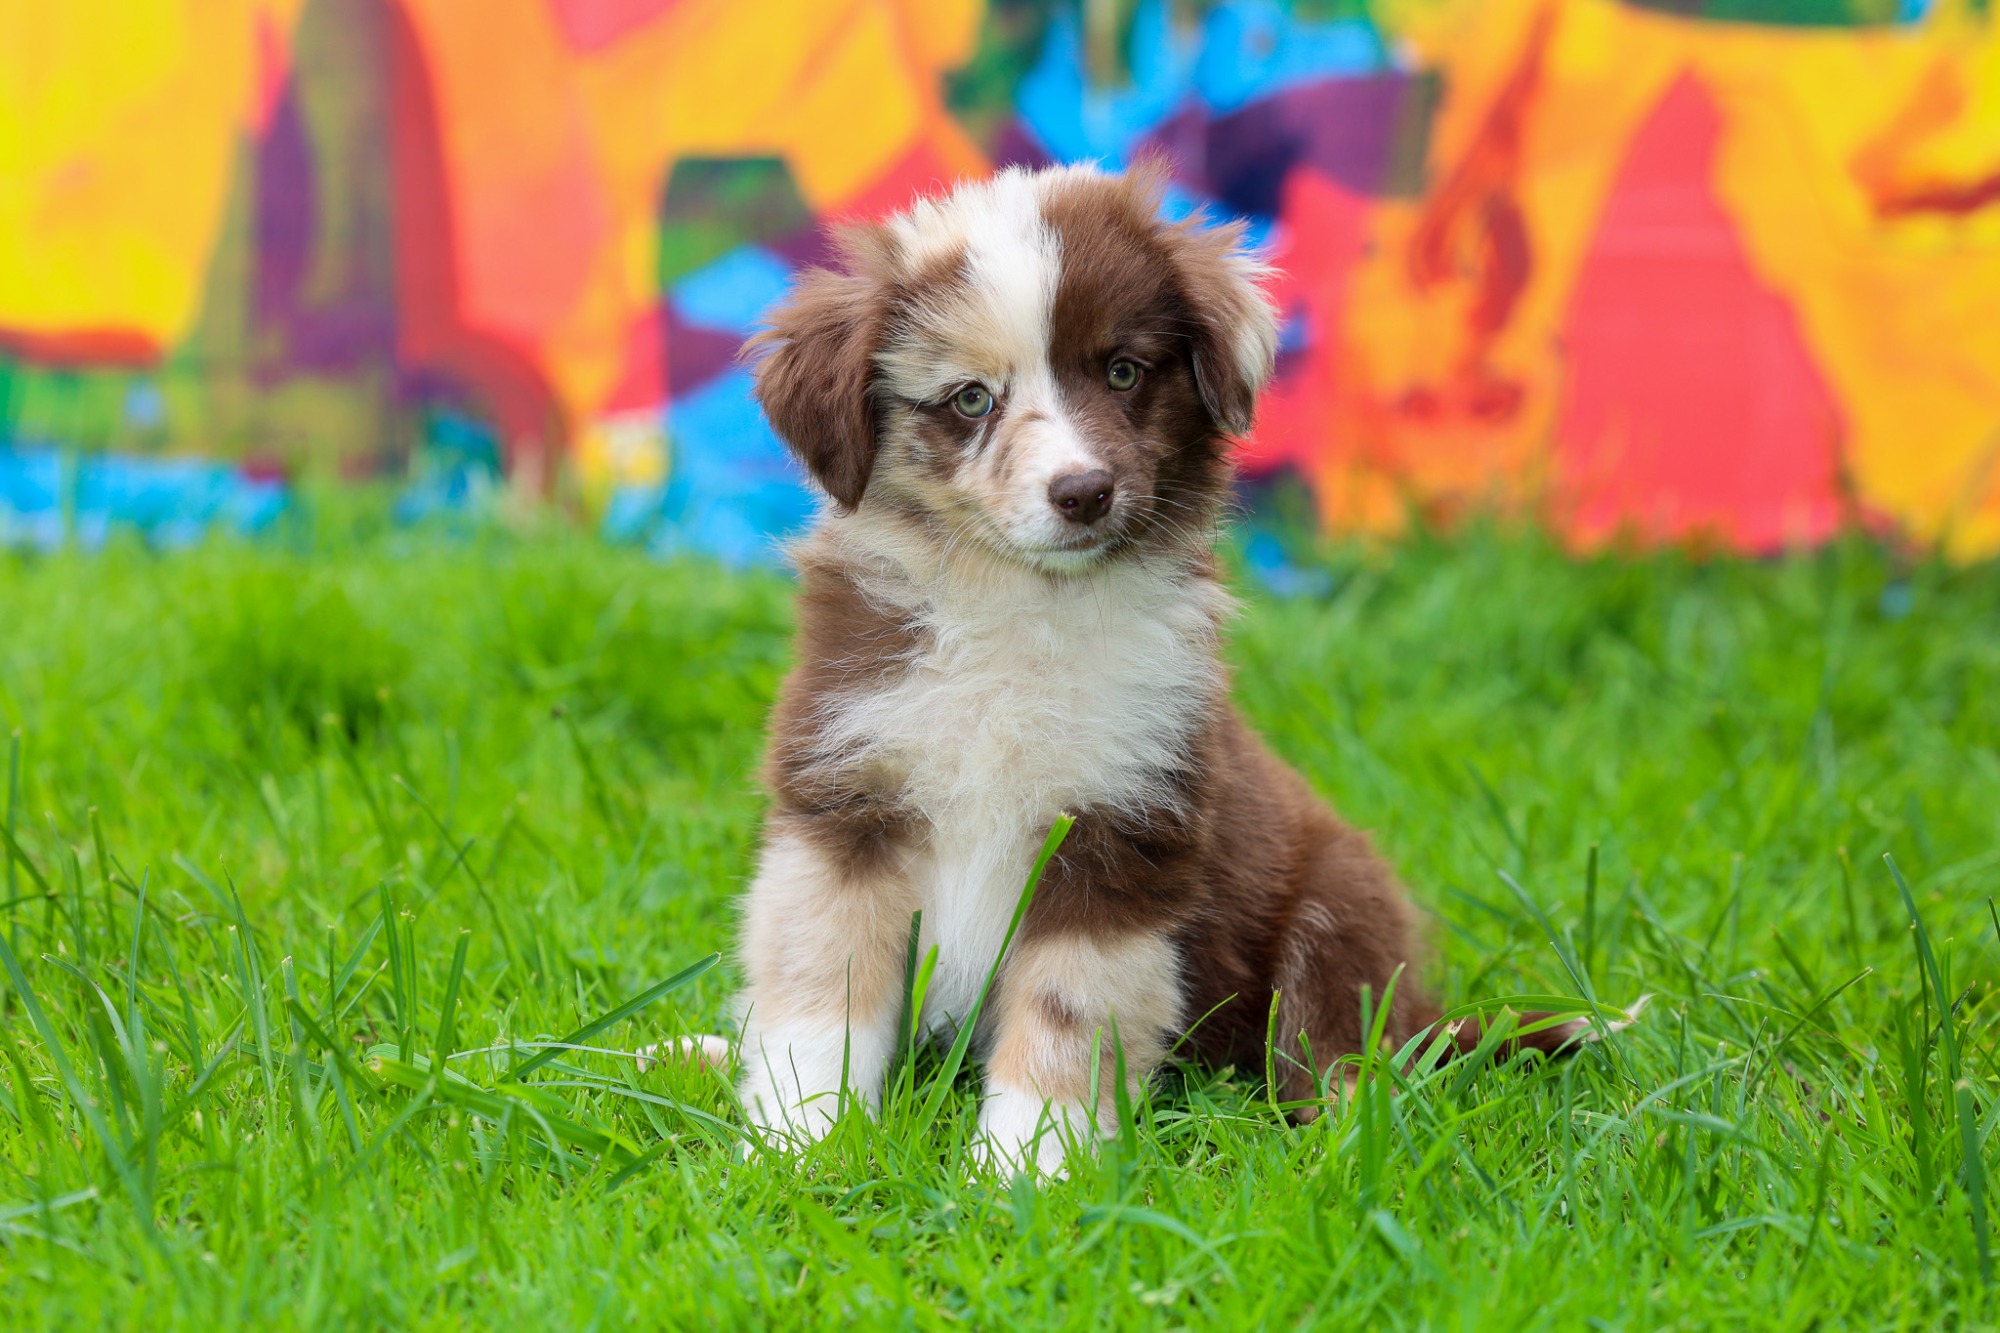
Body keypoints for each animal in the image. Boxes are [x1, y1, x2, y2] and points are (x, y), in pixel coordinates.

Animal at [723, 162, 1623, 1174]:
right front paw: (801, 1142)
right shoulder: (843, 807)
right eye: (970, 399)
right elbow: (820, 998)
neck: (1022, 609)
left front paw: (1024, 1170)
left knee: (1334, 1054)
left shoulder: (1122, 834)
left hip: (1335, 908)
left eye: (1123, 371)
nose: (1083, 492)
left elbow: (1065, 1015)